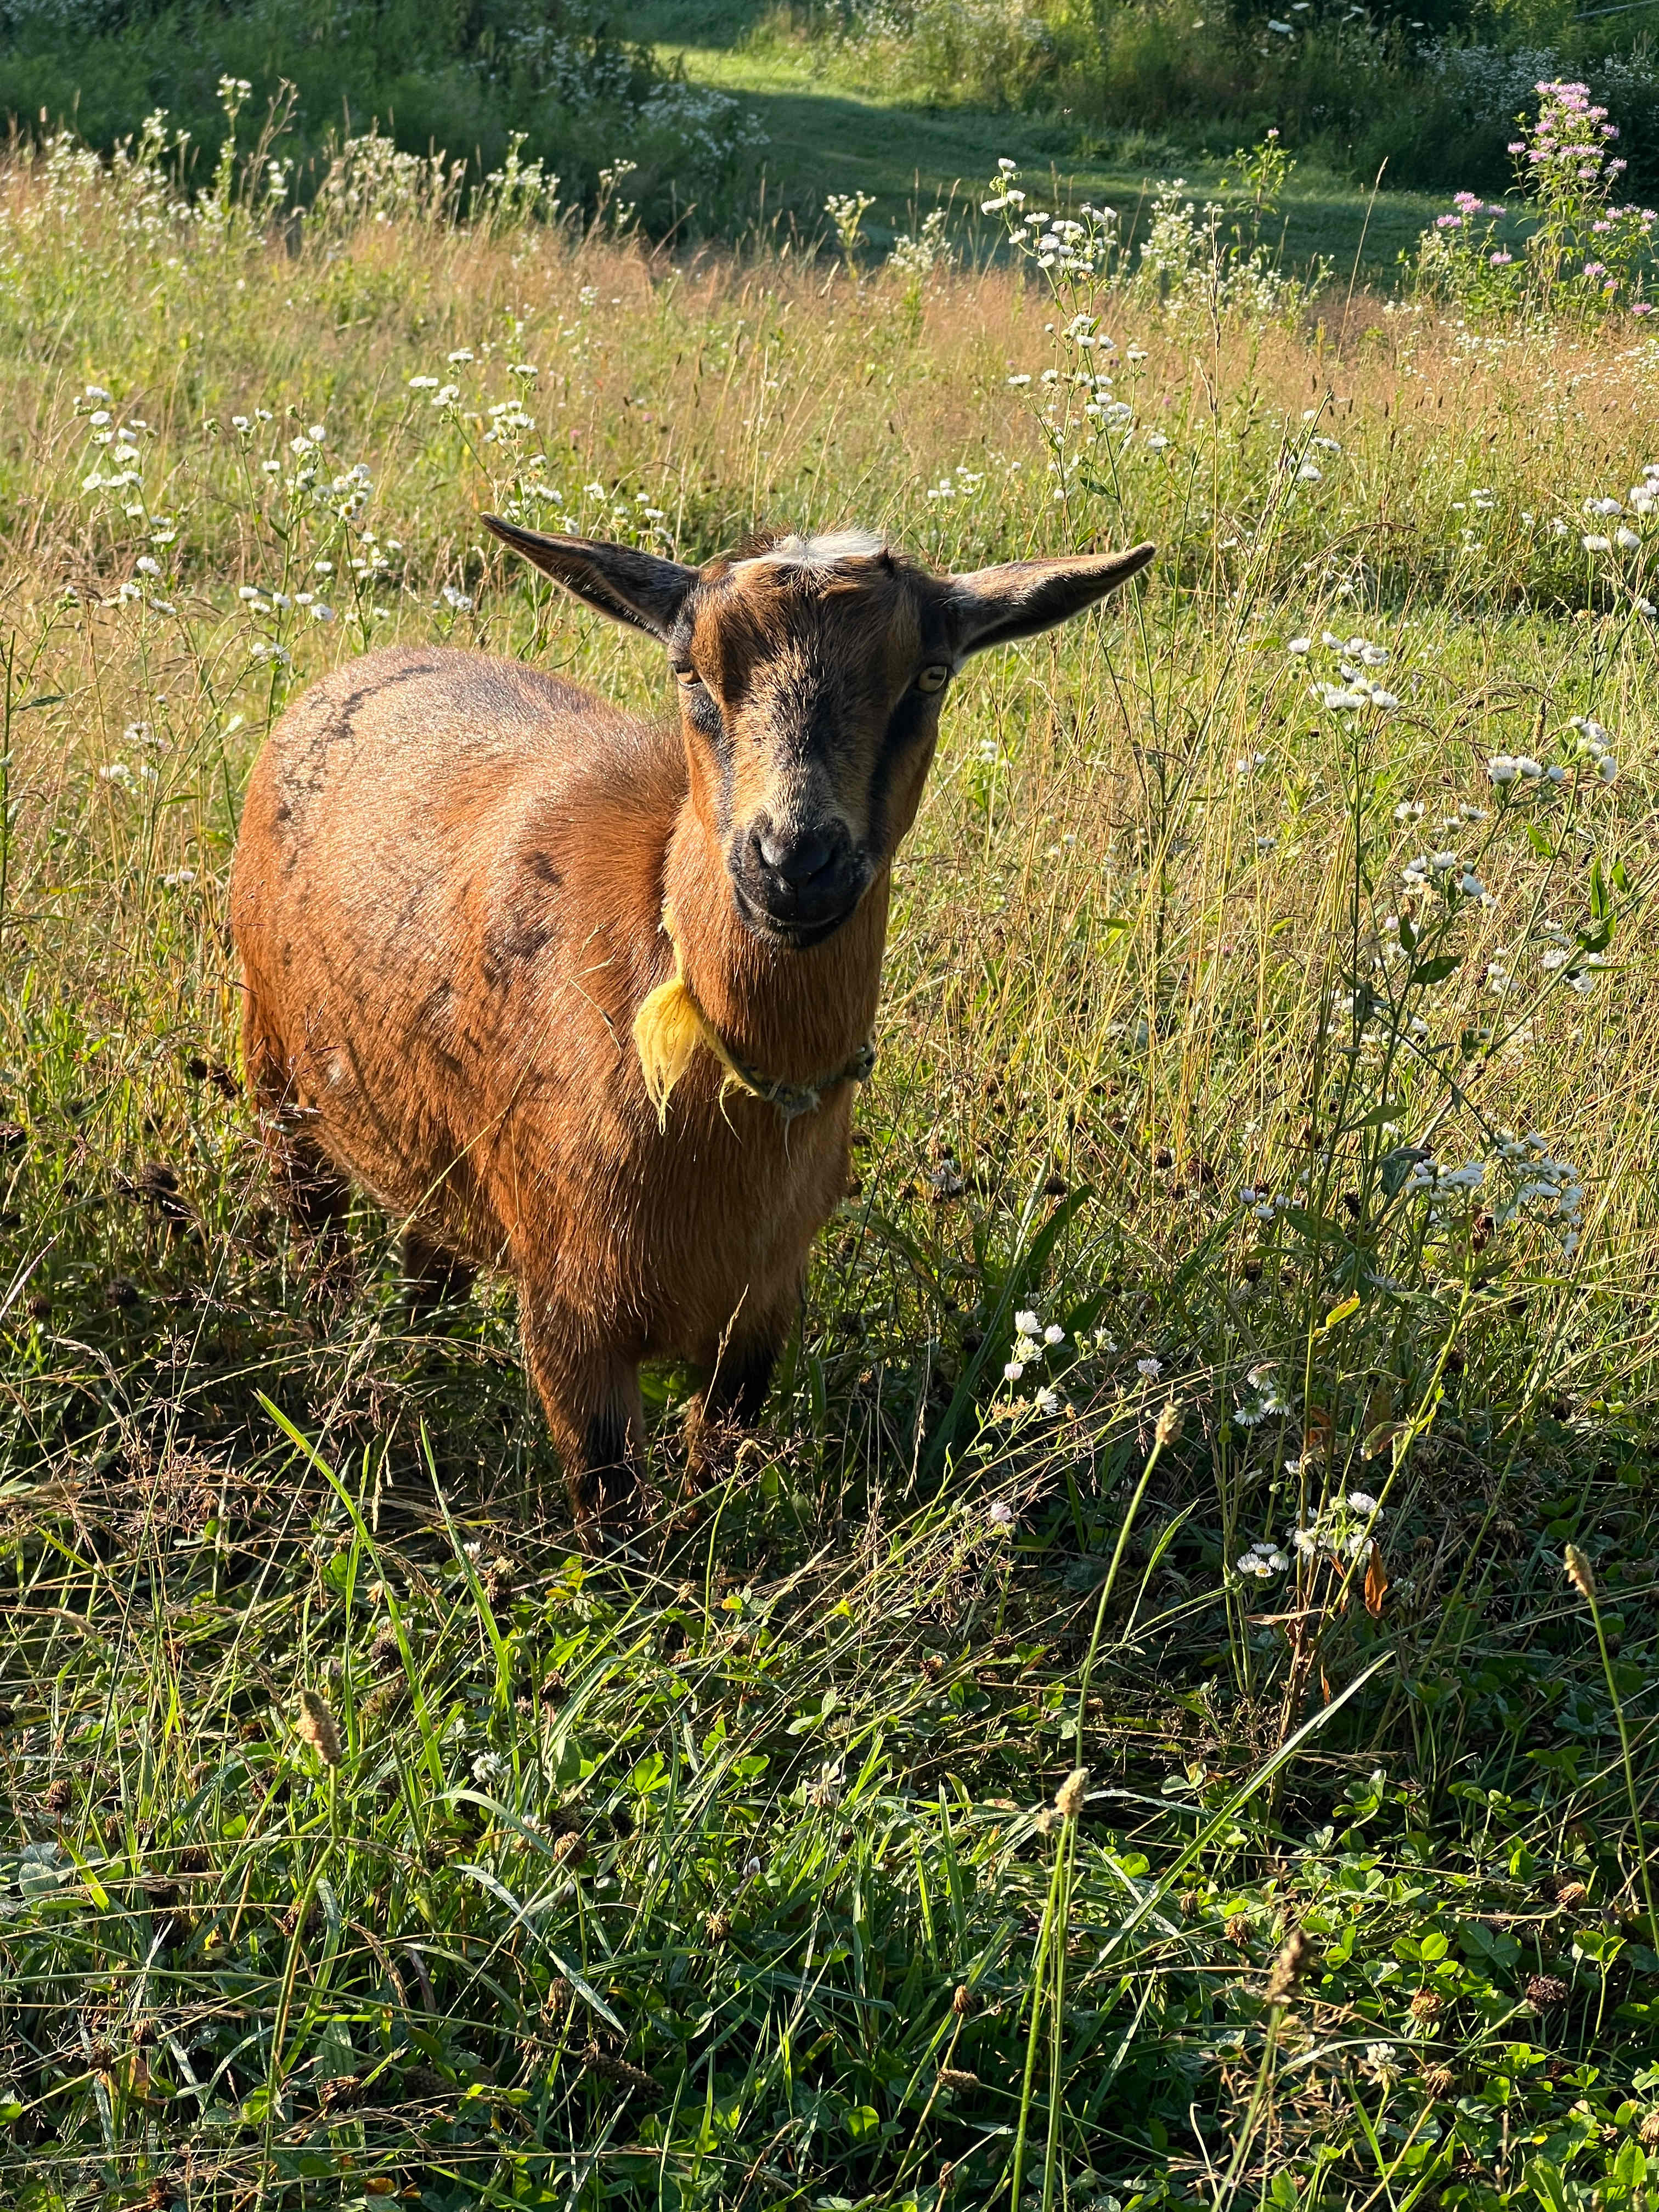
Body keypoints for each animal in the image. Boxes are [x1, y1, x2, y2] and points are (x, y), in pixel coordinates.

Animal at [229, 520, 1154, 1530]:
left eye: (930, 675)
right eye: (689, 671)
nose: (793, 862)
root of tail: (363, 668)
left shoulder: (761, 1310)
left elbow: (713, 1469)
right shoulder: (570, 1316)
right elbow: (612, 1520)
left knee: (427, 1258)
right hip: (277, 1076)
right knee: (318, 1234)